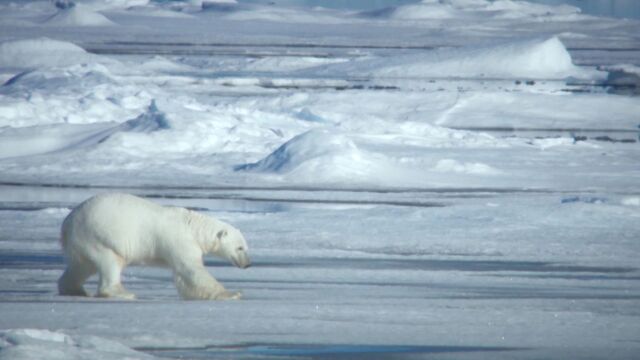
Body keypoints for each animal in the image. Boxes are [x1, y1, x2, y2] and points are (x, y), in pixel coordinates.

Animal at [58, 193, 250, 300]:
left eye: (246, 247)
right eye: (240, 248)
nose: (248, 264)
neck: (194, 228)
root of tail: (67, 223)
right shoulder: (179, 241)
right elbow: (192, 270)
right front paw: (232, 294)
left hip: (84, 241)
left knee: (82, 265)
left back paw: (74, 289)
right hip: (97, 234)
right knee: (110, 261)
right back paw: (123, 293)